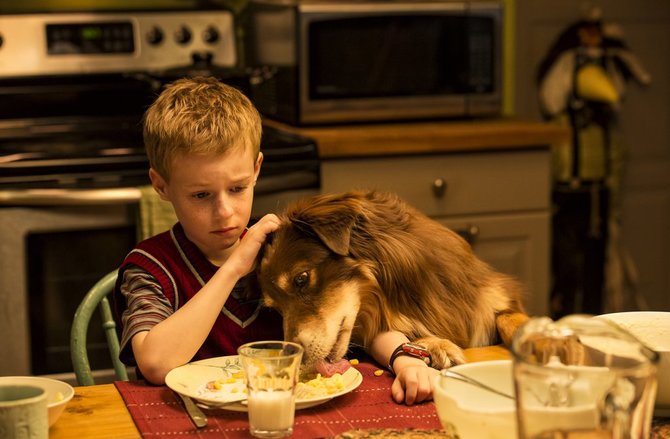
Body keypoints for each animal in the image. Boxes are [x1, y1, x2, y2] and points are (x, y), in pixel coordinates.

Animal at [258, 191, 532, 372]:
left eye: (301, 279)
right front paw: (437, 345)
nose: (293, 359)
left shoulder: (492, 296)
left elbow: (511, 318)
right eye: (276, 309)